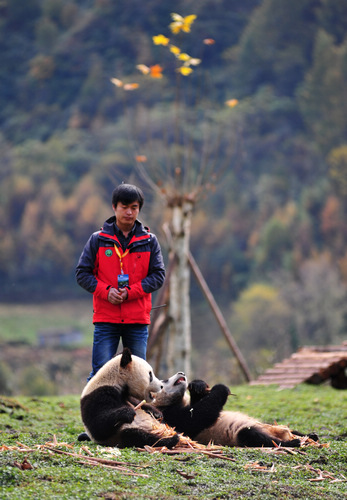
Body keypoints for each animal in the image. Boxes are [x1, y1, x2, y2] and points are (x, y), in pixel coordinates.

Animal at [154, 374, 320, 448]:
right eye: (163, 381)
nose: (181, 373)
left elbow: (198, 404)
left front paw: (198, 385)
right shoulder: (170, 416)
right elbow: (195, 418)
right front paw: (221, 388)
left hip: (272, 425)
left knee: (287, 429)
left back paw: (311, 436)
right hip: (240, 434)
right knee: (253, 436)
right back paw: (292, 442)